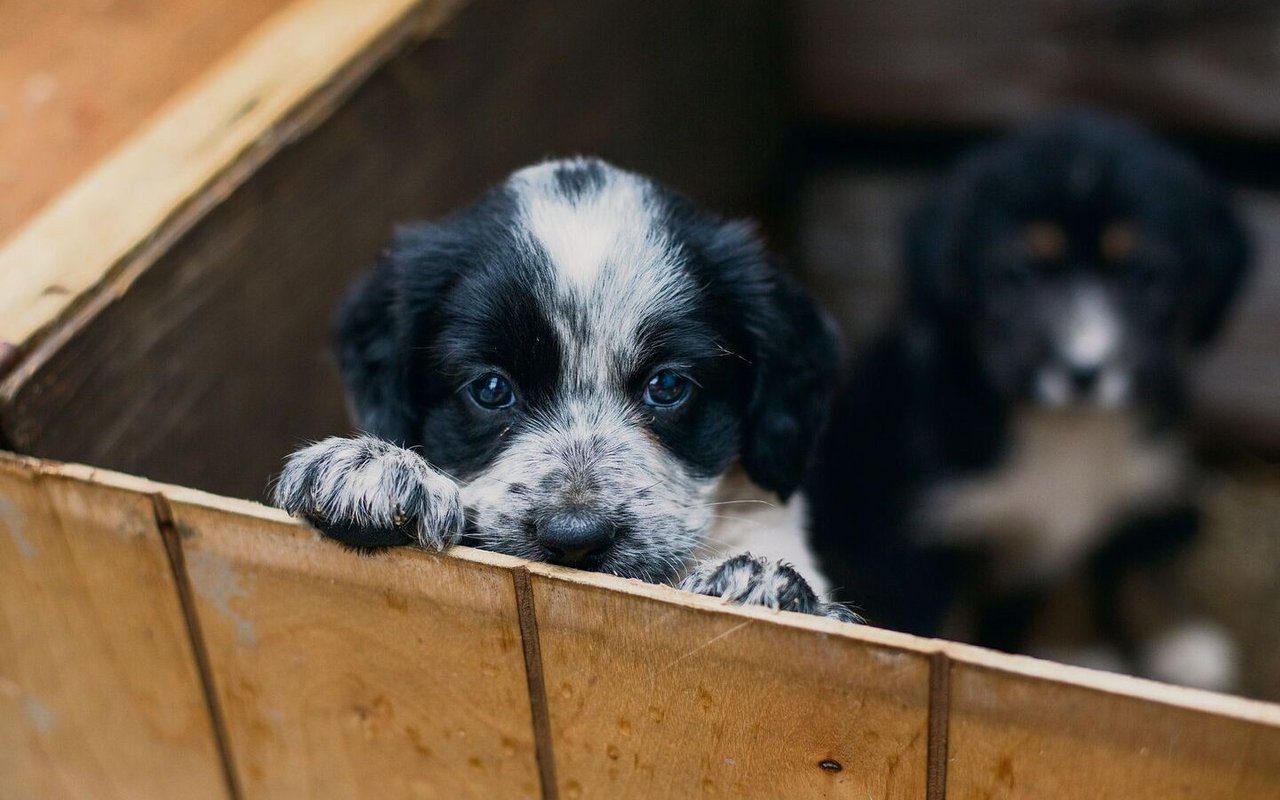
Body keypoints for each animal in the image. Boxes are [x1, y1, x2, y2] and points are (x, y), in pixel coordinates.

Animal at [808, 113, 1249, 686]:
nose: (1085, 371)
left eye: (1142, 274)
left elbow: (1132, 569)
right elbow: (951, 623)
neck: (1066, 430)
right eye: (1019, 273)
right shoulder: (929, 537)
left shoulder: (1142, 486)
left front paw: (1174, 642)